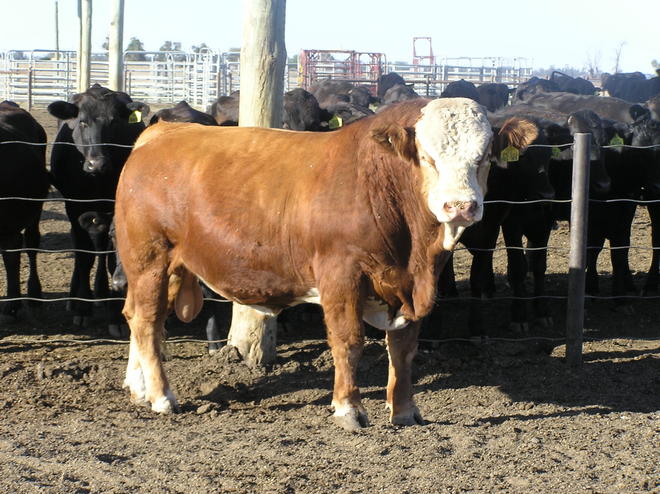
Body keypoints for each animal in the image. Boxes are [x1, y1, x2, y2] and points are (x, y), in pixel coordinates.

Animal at [47, 84, 148, 329]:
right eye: (82, 121)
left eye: (114, 123)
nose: (97, 164)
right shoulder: (74, 207)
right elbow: (84, 256)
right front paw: (83, 309)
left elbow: (112, 256)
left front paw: (115, 314)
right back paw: (75, 299)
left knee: (101, 247)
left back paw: (102, 294)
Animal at [114, 98, 537, 429]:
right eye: (427, 157)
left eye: (483, 157)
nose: (460, 205)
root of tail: (161, 132)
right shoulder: (341, 276)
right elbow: (349, 342)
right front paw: (349, 409)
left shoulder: (412, 286)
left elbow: (403, 348)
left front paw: (403, 411)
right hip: (149, 258)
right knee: (148, 321)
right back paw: (162, 396)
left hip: (169, 267)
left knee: (138, 315)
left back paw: (138, 387)